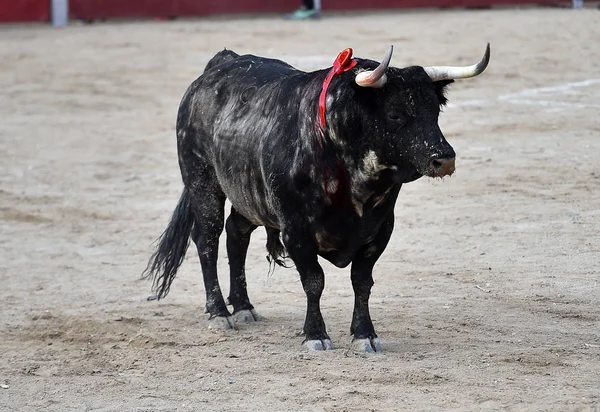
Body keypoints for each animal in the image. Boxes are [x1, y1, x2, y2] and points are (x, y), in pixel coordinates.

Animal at [146, 45, 492, 354]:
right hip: (202, 182)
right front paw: (316, 335)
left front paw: (365, 335)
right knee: (208, 239)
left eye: (435, 110)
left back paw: (244, 307)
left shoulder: (380, 229)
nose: (443, 159)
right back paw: (219, 313)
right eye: (395, 114)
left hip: (248, 194)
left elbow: (361, 282)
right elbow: (314, 281)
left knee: (237, 234)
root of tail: (219, 64)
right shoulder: (295, 230)